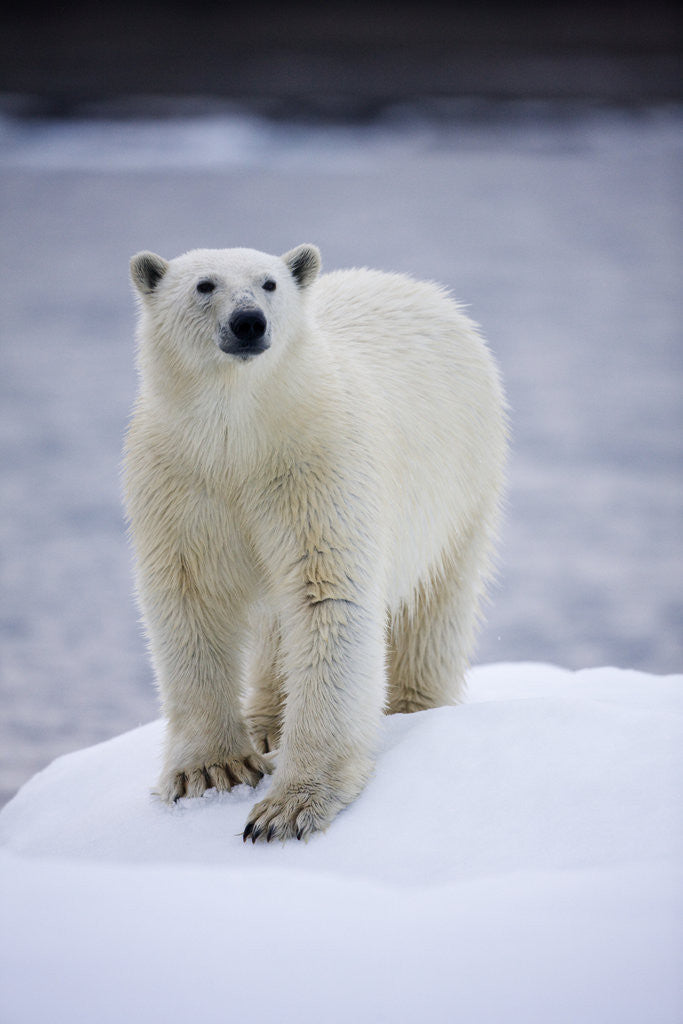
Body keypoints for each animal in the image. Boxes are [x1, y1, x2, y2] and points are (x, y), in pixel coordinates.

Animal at [123, 243, 507, 843]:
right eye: (204, 285)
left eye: (270, 283)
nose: (249, 321)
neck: (240, 440)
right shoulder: (181, 482)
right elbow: (190, 599)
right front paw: (210, 771)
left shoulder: (315, 466)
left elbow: (326, 598)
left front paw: (289, 807)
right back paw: (265, 724)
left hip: (461, 483)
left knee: (432, 607)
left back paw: (409, 710)